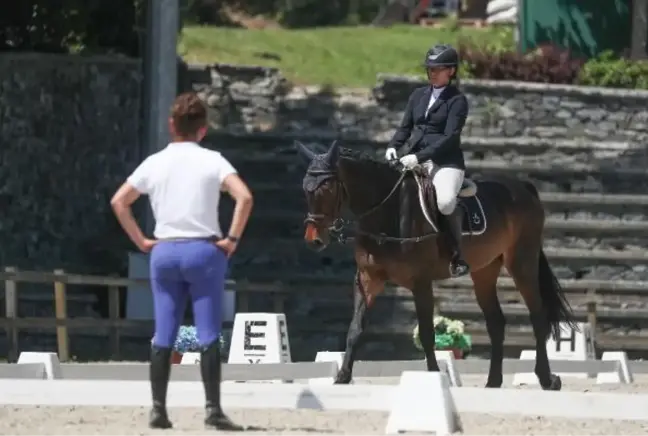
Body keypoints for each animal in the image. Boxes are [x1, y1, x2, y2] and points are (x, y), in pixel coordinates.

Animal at [296, 141, 576, 392]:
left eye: (327, 189)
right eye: (305, 190)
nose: (314, 240)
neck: (387, 212)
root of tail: (523, 187)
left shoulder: (421, 283)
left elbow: (427, 334)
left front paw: (432, 376)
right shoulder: (367, 278)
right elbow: (355, 328)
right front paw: (342, 377)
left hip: (522, 262)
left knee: (538, 316)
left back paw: (547, 379)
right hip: (485, 271)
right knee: (496, 322)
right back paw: (493, 382)